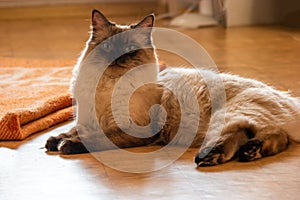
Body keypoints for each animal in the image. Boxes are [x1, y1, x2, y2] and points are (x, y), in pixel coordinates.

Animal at [45, 9, 300, 166]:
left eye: (129, 49)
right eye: (108, 48)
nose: (118, 59)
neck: (109, 86)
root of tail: (290, 100)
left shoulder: (132, 130)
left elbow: (95, 138)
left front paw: (66, 145)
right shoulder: (87, 120)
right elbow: (73, 130)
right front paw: (54, 141)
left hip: (227, 118)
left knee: (242, 135)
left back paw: (211, 158)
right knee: (276, 137)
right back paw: (250, 152)